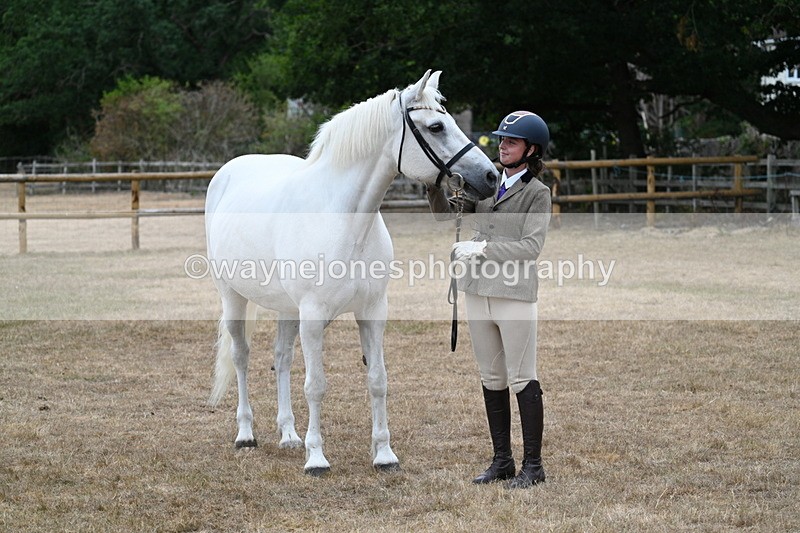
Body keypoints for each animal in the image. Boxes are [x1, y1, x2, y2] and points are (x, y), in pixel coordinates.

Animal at [204, 70, 498, 475]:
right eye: (436, 126)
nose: (490, 175)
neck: (345, 220)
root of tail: (227, 173)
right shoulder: (313, 317)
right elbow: (316, 385)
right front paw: (316, 458)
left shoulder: (372, 313)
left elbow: (377, 380)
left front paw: (384, 454)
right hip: (233, 297)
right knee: (241, 357)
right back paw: (246, 434)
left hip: (287, 309)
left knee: (282, 359)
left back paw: (289, 435)